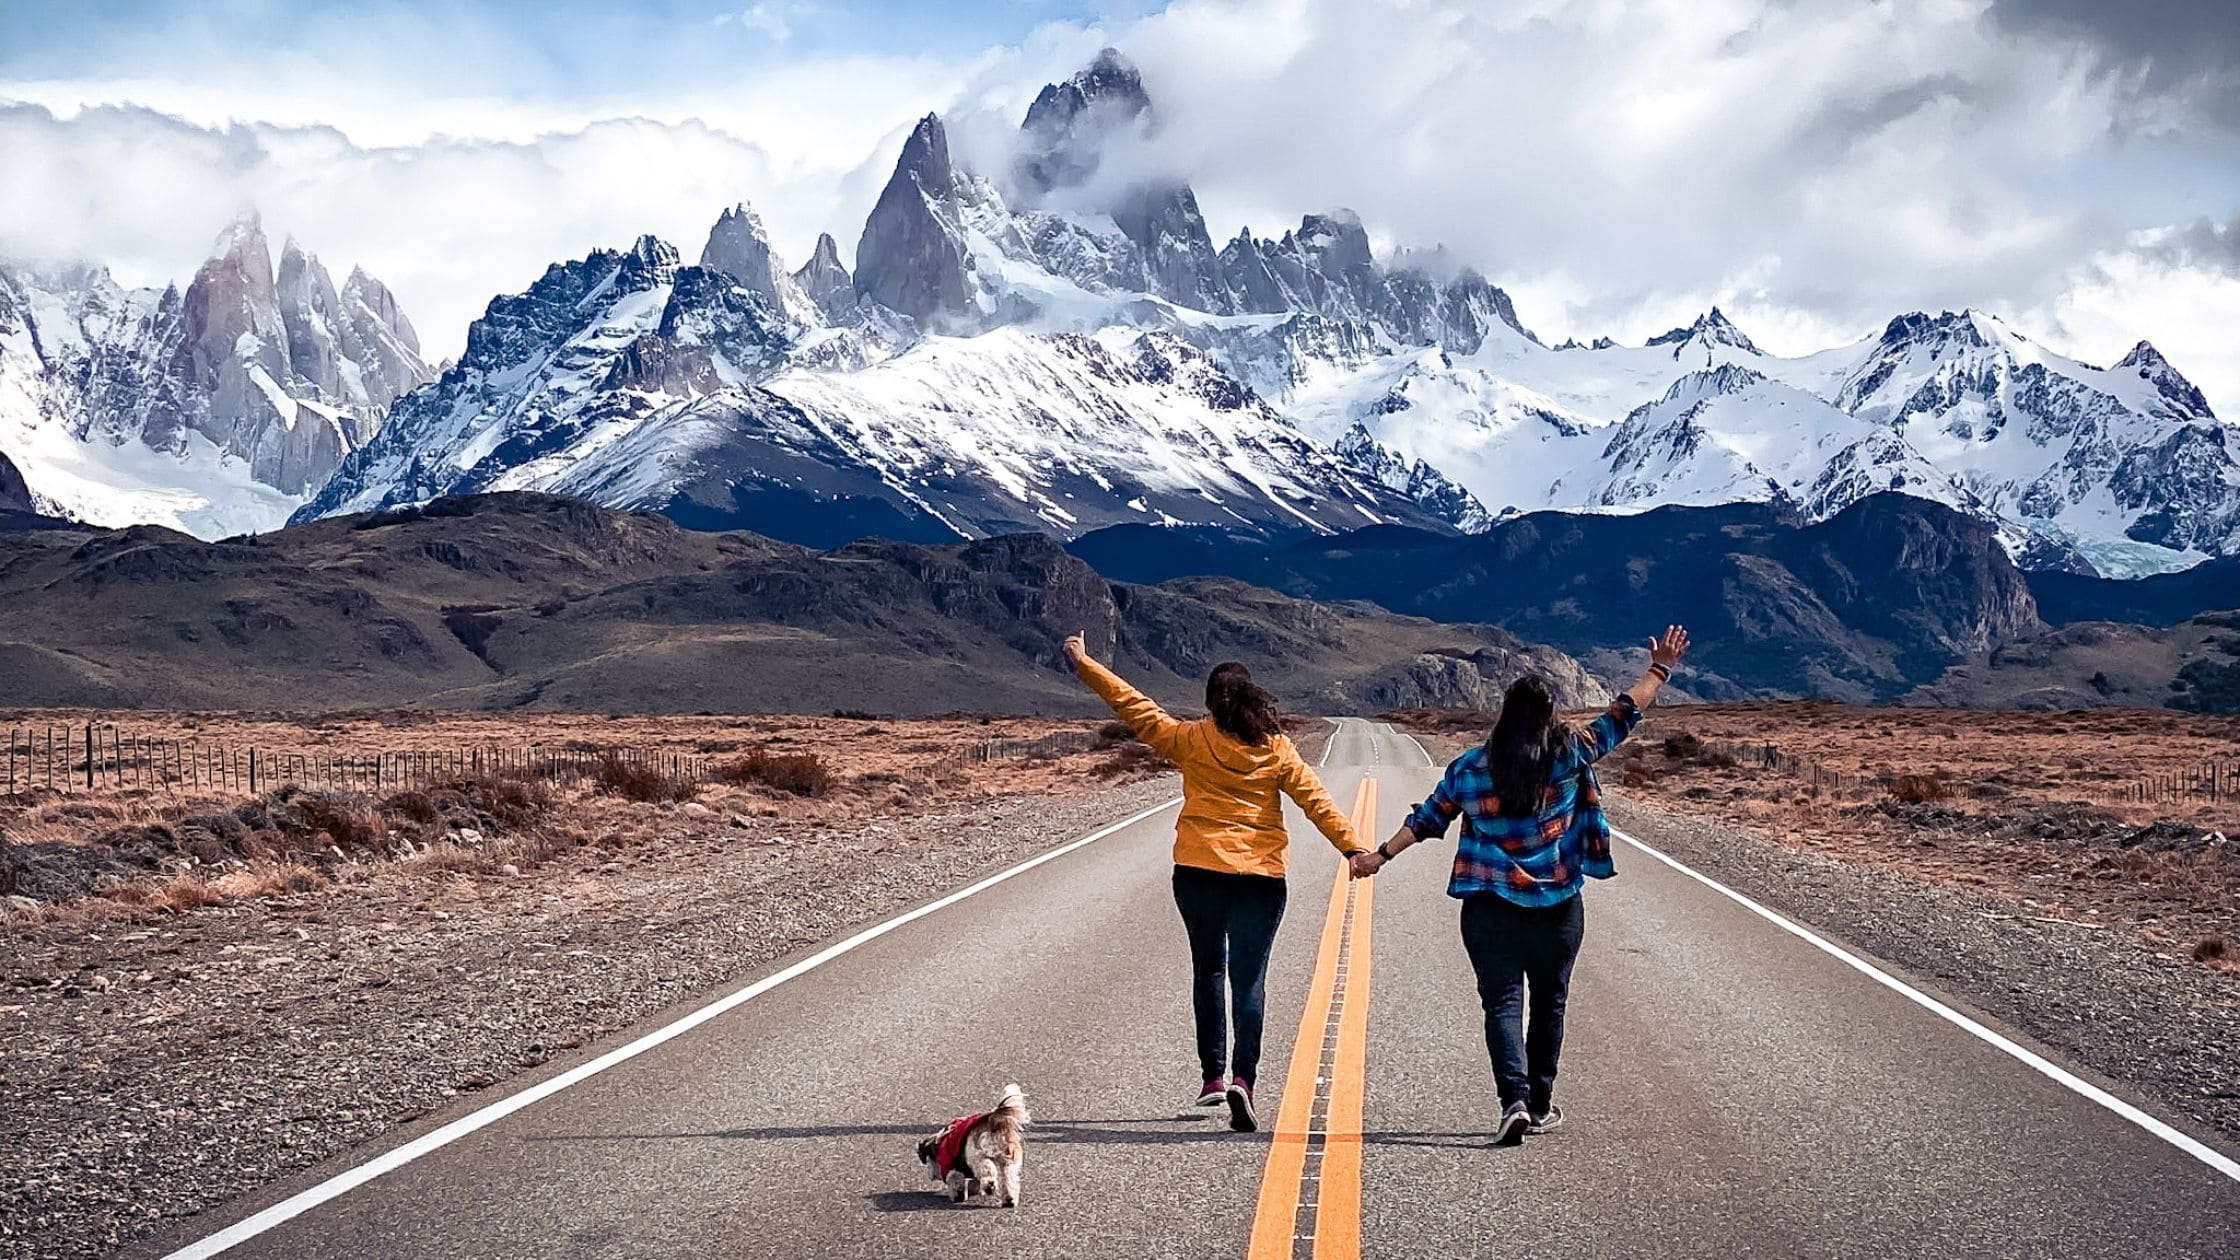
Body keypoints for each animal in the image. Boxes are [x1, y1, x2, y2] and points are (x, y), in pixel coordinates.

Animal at [913, 1080, 1025, 1210]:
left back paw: (989, 1186)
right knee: (1009, 1178)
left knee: (986, 1169)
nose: (930, 1176)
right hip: (1009, 1159)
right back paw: (1009, 1199)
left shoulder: (950, 1168)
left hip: (977, 1154)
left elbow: (955, 1180)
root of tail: (995, 1122)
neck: (939, 1143)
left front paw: (957, 1196)